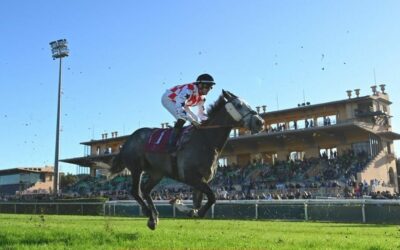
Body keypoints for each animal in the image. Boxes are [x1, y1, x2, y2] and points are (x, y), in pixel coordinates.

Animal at [110, 90, 266, 230]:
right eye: (239, 105)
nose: (260, 122)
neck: (205, 140)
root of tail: (128, 141)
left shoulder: (202, 180)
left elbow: (198, 203)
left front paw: (187, 209)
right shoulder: (192, 177)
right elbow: (212, 197)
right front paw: (189, 208)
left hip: (157, 173)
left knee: (146, 190)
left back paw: (153, 218)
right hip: (136, 168)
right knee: (136, 191)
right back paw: (149, 214)